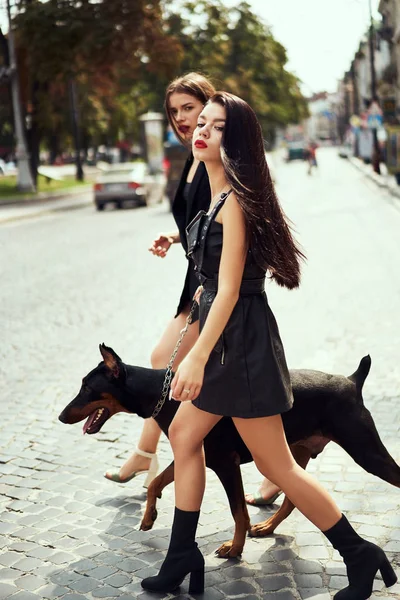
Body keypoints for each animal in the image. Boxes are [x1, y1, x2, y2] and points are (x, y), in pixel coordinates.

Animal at [58, 344, 400, 560]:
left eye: (87, 388)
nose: (60, 416)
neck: (167, 395)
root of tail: (352, 381)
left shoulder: (224, 462)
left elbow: (238, 511)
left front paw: (234, 550)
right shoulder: (194, 453)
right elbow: (156, 482)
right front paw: (149, 517)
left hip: (366, 453)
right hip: (291, 454)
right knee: (294, 497)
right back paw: (267, 527)